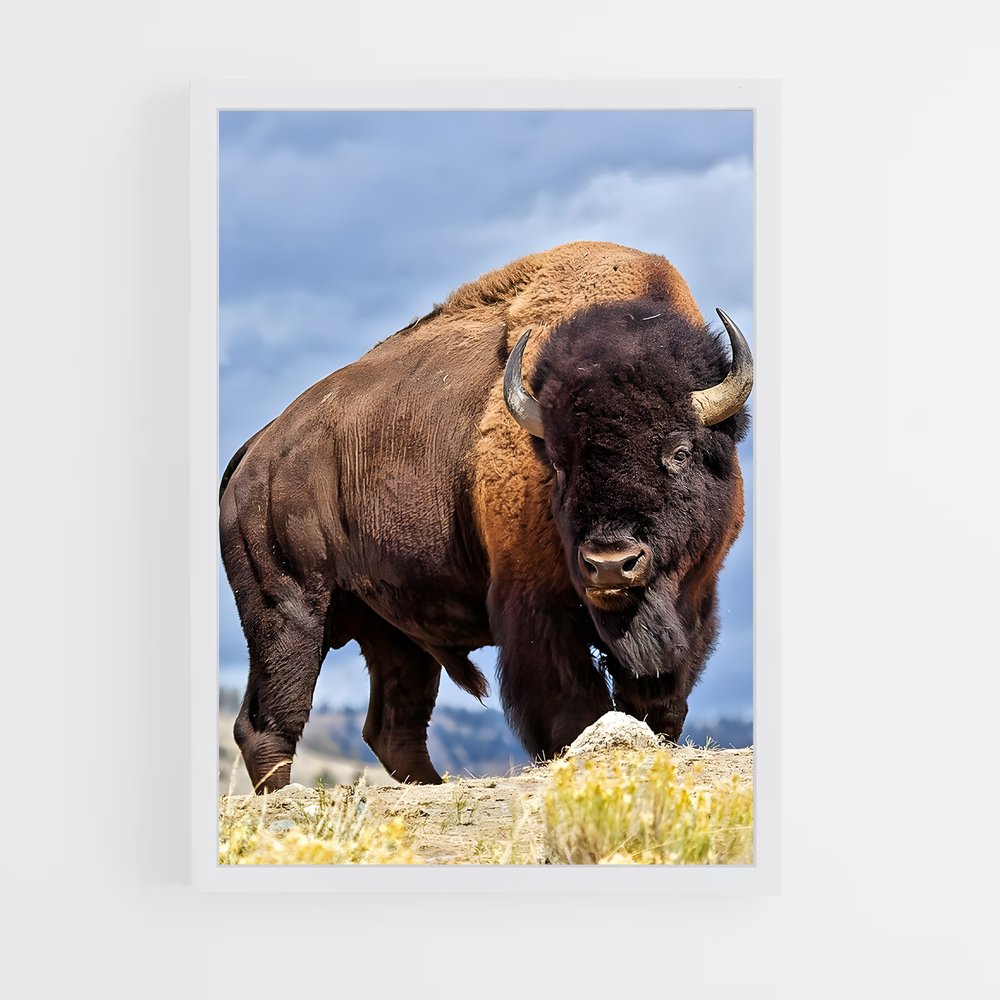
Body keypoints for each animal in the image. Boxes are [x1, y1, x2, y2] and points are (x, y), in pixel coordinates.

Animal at [219, 241, 752, 791]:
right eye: (559, 462)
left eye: (681, 452)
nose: (610, 563)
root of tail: (257, 450)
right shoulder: (536, 610)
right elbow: (572, 710)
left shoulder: (692, 604)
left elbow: (661, 703)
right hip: (290, 612)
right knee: (267, 721)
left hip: (392, 633)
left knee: (392, 727)